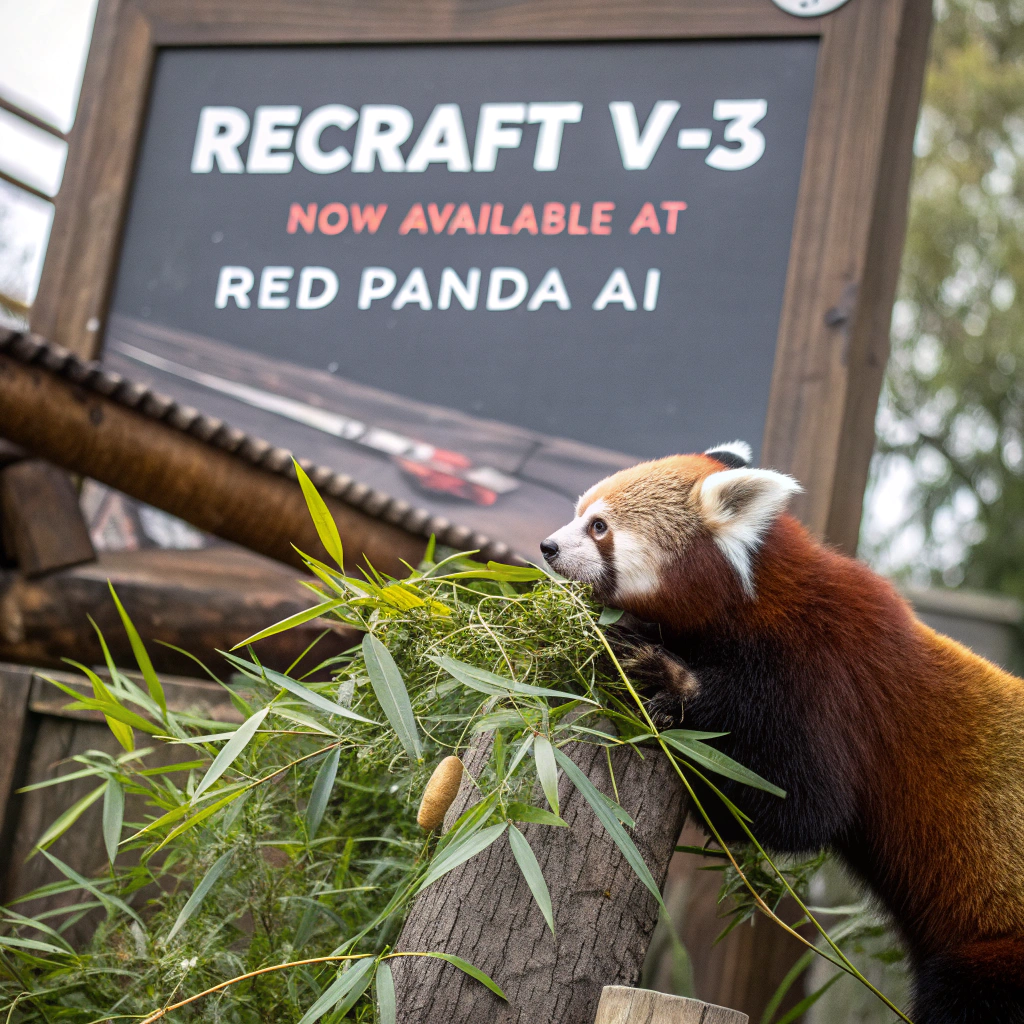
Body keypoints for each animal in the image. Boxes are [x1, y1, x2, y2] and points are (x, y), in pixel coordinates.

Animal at [540, 443, 1024, 1024]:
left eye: (599, 527)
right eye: (578, 514)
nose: (547, 546)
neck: (756, 601)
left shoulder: (823, 680)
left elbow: (804, 807)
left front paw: (669, 681)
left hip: (997, 954)